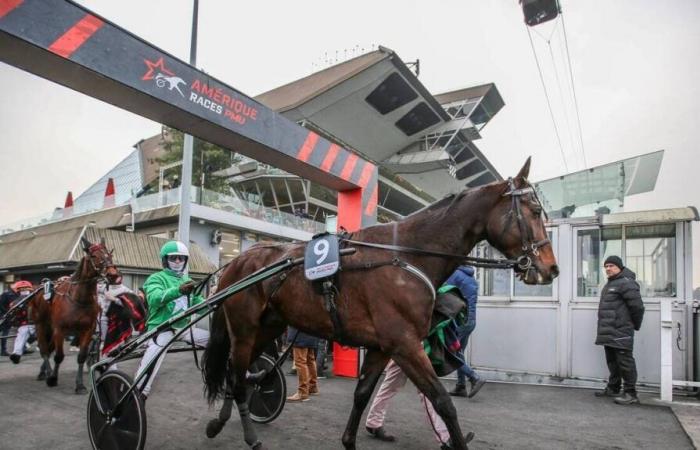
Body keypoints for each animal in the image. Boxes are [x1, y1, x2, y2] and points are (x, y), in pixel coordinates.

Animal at [31, 237, 118, 392]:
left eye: (109, 254)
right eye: (93, 256)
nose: (112, 274)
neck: (79, 299)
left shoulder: (87, 330)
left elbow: (82, 356)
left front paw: (80, 384)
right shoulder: (60, 329)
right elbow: (59, 356)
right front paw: (53, 378)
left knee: (49, 347)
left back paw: (43, 371)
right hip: (41, 324)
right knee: (45, 350)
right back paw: (48, 372)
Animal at [201, 156, 556, 448]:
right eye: (536, 212)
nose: (552, 268)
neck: (406, 255)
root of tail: (237, 262)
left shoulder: (382, 346)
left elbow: (361, 395)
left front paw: (349, 440)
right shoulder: (405, 344)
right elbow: (442, 402)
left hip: (269, 328)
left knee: (236, 371)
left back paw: (220, 422)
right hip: (245, 330)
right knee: (237, 375)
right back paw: (248, 434)